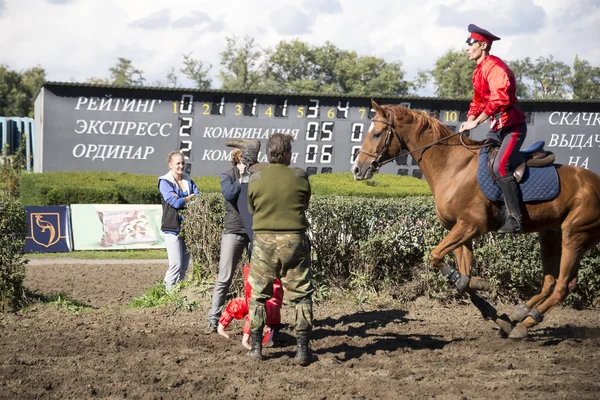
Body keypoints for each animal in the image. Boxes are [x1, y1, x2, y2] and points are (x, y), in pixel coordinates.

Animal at [350, 100, 600, 338]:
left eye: (376, 133)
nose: (357, 169)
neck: (452, 167)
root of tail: (595, 182)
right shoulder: (461, 231)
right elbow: (463, 279)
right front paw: (496, 314)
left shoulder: (470, 226)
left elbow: (435, 256)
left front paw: (481, 286)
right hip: (551, 234)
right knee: (552, 281)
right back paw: (521, 312)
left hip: (575, 234)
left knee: (563, 286)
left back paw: (525, 324)